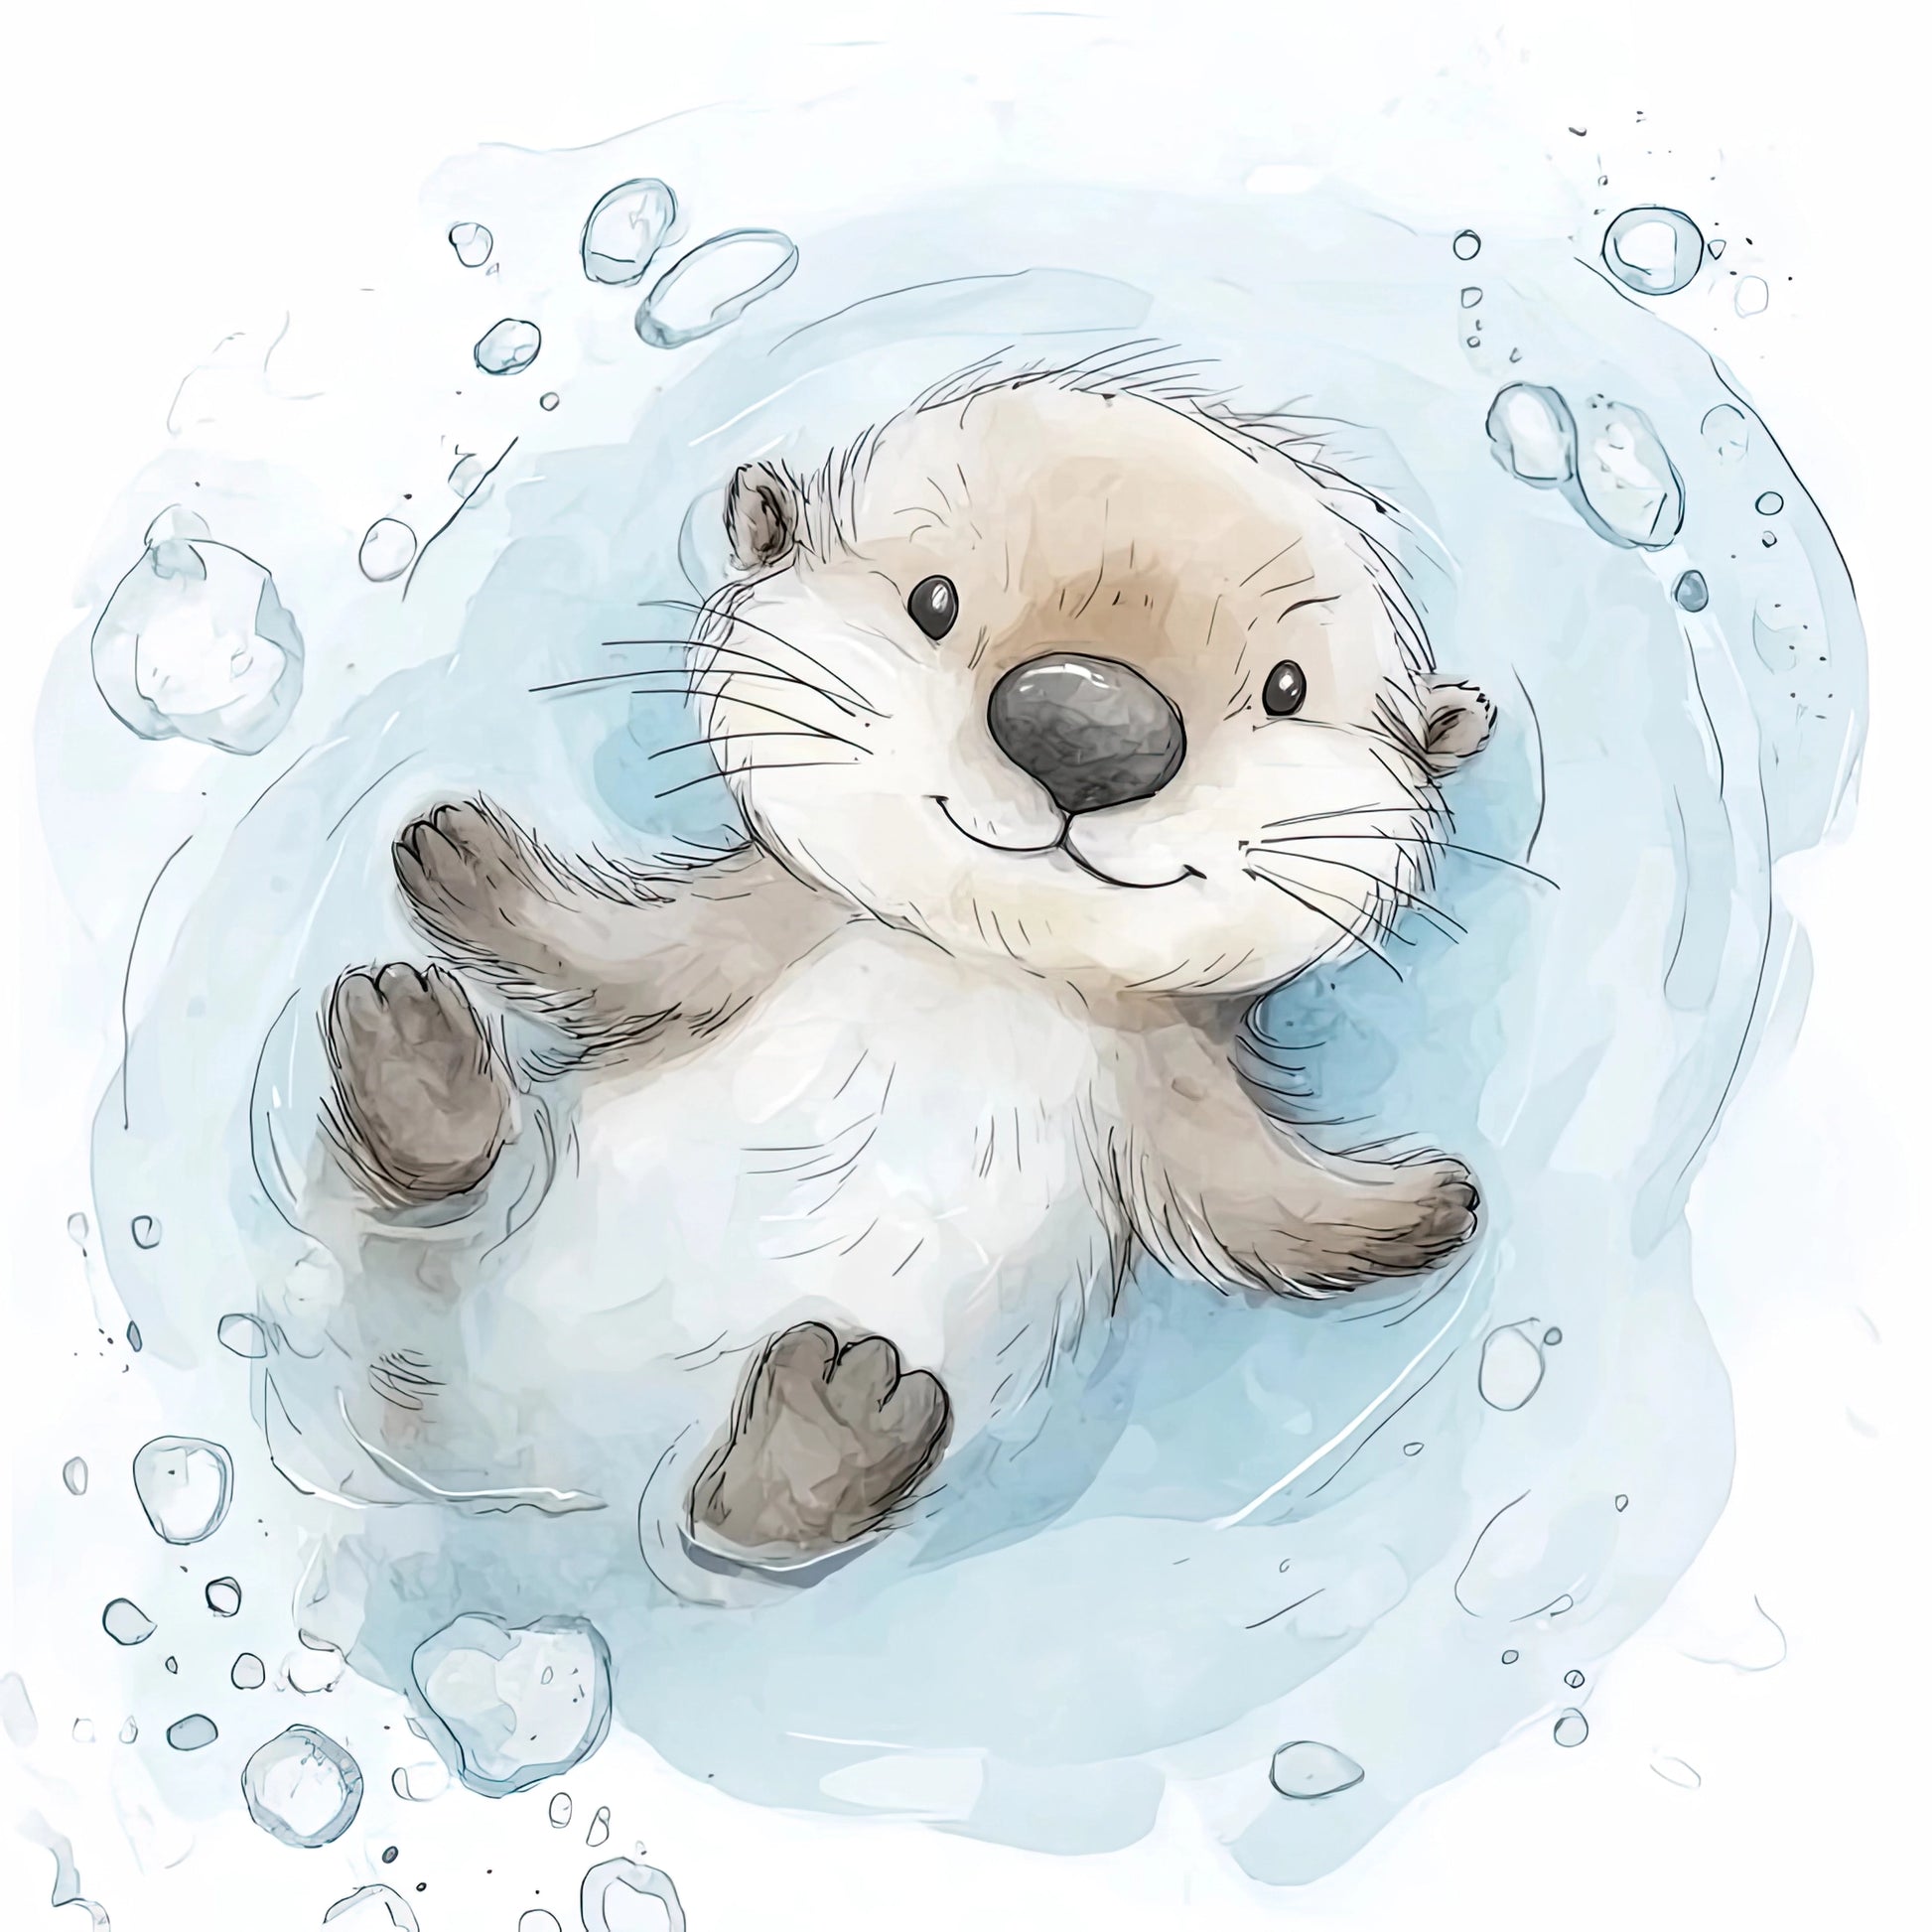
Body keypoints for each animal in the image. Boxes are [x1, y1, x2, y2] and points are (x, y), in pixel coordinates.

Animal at [313, 361, 1493, 1582]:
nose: (1086, 719)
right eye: (934, 601)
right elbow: (631, 952)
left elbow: (1245, 1195)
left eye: (1285, 687)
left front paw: (1419, 1205)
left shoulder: (1159, 1087)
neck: (978, 969)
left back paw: (828, 1417)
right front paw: (467, 856)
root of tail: (542, 1503)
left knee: (730, 1534)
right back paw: (415, 1056)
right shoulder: (766, 924)